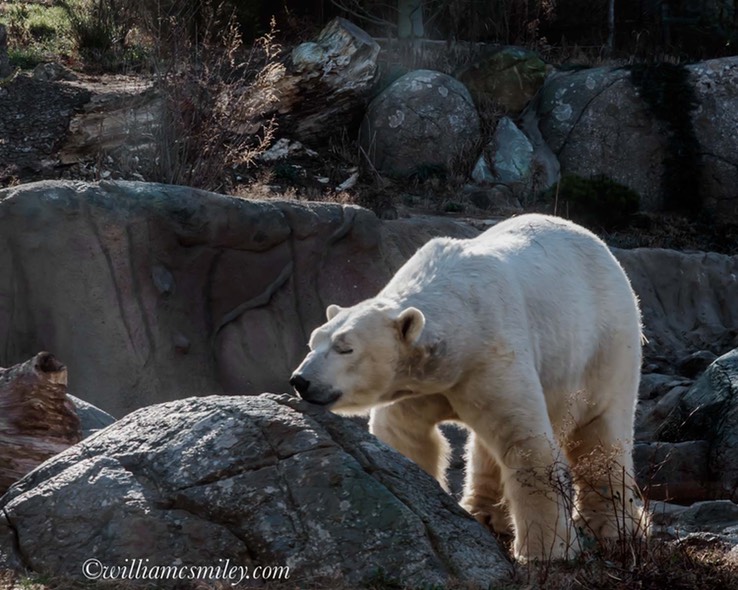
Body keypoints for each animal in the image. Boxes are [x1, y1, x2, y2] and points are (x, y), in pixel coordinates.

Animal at [288, 214, 644, 564]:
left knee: (600, 434)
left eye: (345, 348)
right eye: (313, 342)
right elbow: (406, 435)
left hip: (605, 344)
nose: (300, 380)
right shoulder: (418, 385)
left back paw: (610, 525)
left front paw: (546, 553)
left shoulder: (492, 355)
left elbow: (526, 443)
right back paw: (483, 513)